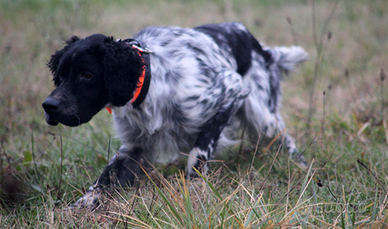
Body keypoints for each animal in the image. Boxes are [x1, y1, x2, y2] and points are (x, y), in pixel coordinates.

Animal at [42, 22, 308, 208]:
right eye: (60, 75)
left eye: (86, 75)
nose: (48, 106)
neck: (151, 85)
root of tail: (257, 45)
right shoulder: (135, 146)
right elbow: (105, 177)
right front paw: (84, 204)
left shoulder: (231, 88)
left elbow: (198, 153)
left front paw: (194, 189)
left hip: (262, 117)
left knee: (285, 139)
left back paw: (301, 166)